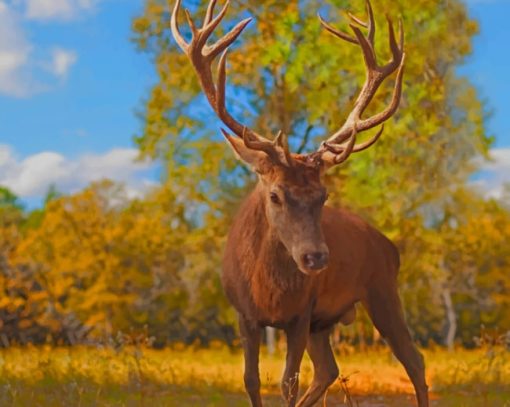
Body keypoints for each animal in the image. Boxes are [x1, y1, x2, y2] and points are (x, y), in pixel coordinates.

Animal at [172, 0, 430, 406]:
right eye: (275, 194)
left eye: (323, 196)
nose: (315, 258)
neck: (268, 292)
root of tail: (390, 245)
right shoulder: (245, 315)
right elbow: (250, 379)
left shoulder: (300, 314)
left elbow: (287, 383)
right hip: (325, 323)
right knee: (329, 370)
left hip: (382, 290)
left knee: (414, 360)